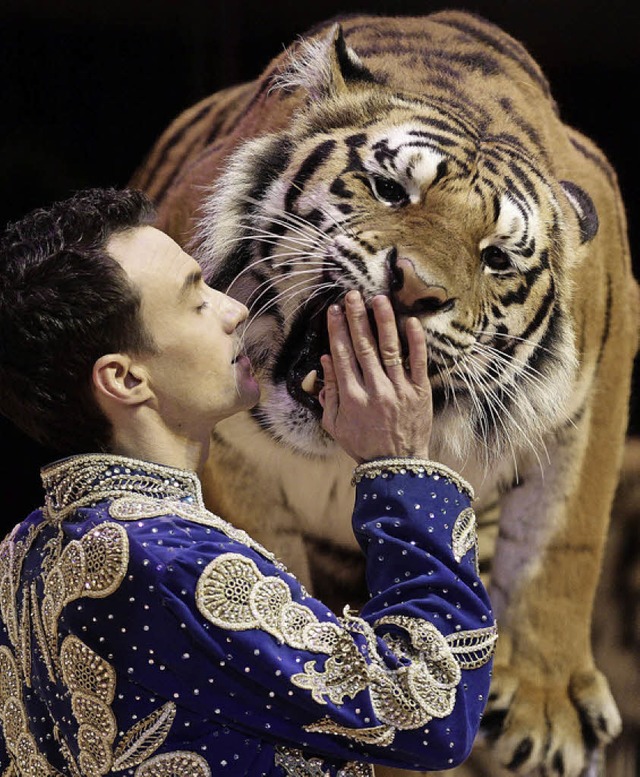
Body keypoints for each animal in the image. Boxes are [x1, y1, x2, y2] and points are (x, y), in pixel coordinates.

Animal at [130, 12, 640, 776]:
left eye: (496, 257)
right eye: (390, 190)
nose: (416, 287)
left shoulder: (596, 378)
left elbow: (562, 536)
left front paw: (548, 712)